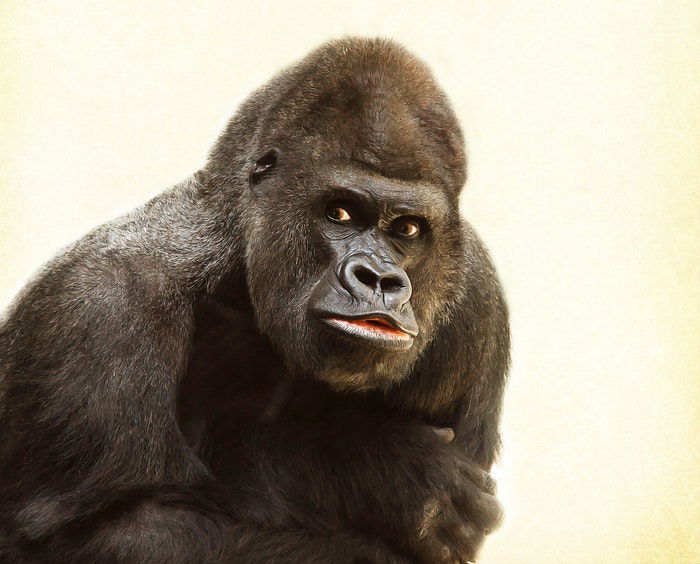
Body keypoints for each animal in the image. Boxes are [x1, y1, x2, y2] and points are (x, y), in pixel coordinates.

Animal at [0, 37, 508, 560]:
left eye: (407, 229)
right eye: (340, 213)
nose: (379, 279)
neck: (236, 263)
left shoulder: (477, 305)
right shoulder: (98, 305)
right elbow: (93, 534)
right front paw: (373, 467)